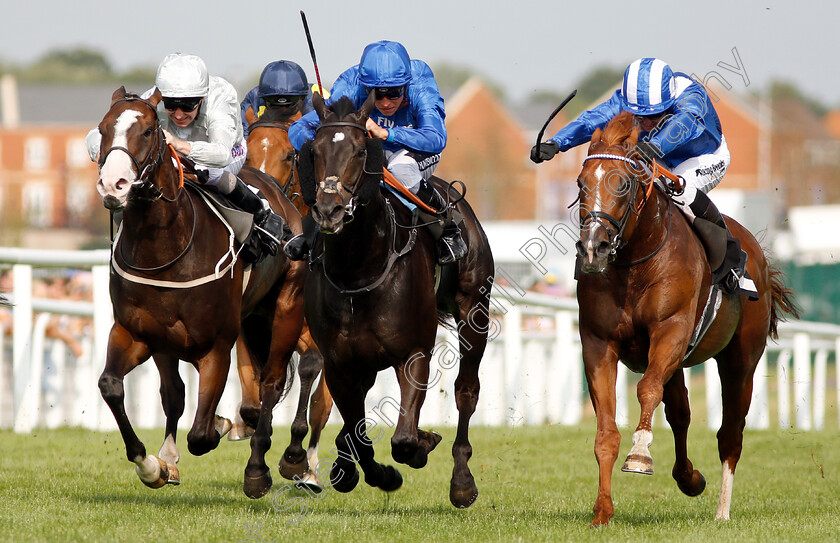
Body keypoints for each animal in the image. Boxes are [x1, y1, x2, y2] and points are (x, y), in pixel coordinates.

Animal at [95, 86, 306, 498]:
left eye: (148, 131)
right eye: (102, 129)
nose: (114, 185)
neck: (166, 250)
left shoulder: (216, 347)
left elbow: (202, 434)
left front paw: (222, 427)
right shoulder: (137, 333)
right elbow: (115, 387)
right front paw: (153, 465)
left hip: (286, 308)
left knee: (272, 383)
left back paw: (259, 470)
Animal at [294, 94, 496, 510]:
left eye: (360, 150)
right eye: (315, 151)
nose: (329, 211)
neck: (359, 270)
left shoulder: (413, 352)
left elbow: (403, 438)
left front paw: (421, 445)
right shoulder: (339, 361)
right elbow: (357, 433)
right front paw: (366, 471)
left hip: (475, 312)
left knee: (466, 392)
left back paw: (462, 480)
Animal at [572, 113, 800, 528]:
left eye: (623, 183)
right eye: (582, 183)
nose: (594, 248)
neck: (635, 263)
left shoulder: (671, 331)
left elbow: (647, 389)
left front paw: (640, 456)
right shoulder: (598, 344)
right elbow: (606, 431)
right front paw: (602, 511)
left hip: (740, 362)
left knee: (730, 433)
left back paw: (722, 511)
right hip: (678, 364)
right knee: (680, 413)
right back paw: (688, 477)